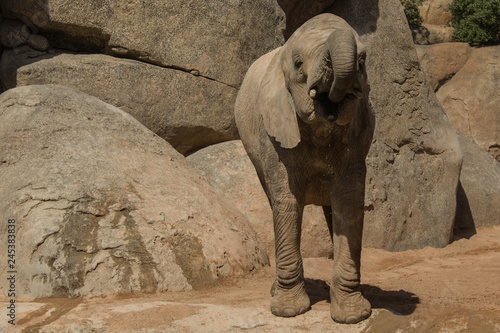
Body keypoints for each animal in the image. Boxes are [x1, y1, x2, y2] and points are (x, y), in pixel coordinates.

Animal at [236, 14, 374, 322]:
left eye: (362, 61)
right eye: (298, 63)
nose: (335, 100)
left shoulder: (356, 141)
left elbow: (349, 202)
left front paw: (352, 316)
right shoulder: (274, 132)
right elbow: (287, 203)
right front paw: (288, 311)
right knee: (275, 201)